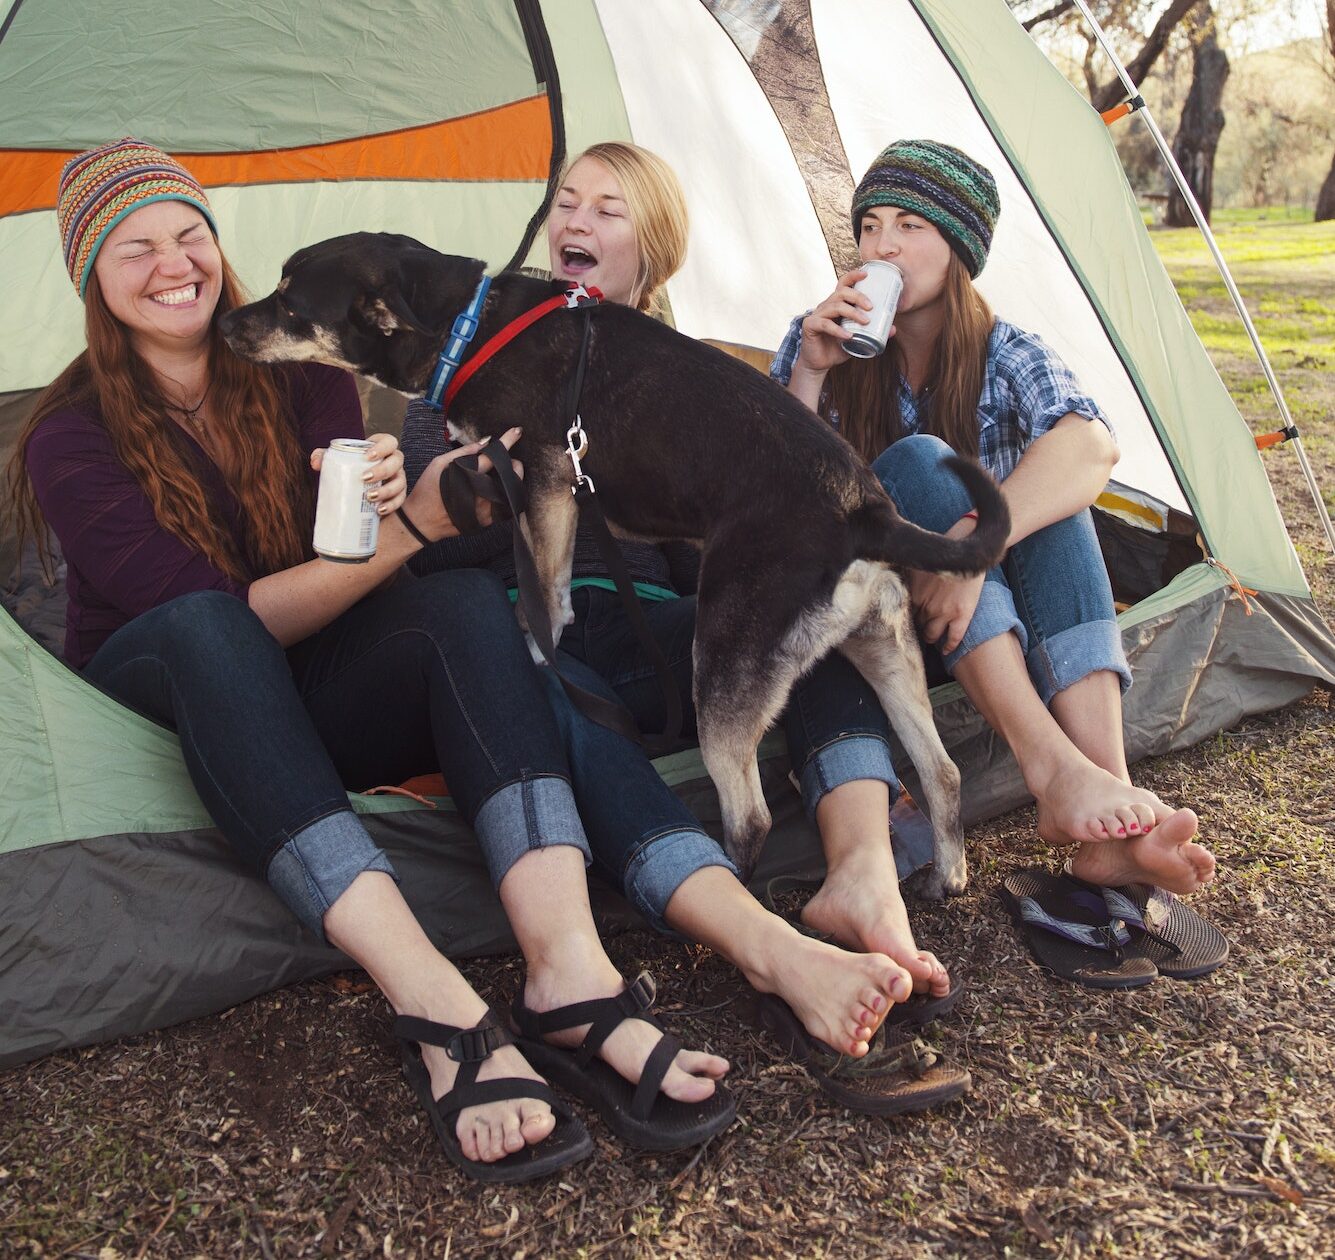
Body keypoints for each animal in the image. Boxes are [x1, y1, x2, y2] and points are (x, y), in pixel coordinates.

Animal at [221, 228, 1009, 896]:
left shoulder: (542, 477)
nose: (225, 325)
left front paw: (537, 644)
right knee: (941, 772)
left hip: (722, 667)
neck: (465, 328)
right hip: (885, 651)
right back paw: (949, 874)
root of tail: (864, 509)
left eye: (289, 302)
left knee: (752, 815)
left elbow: (546, 590)